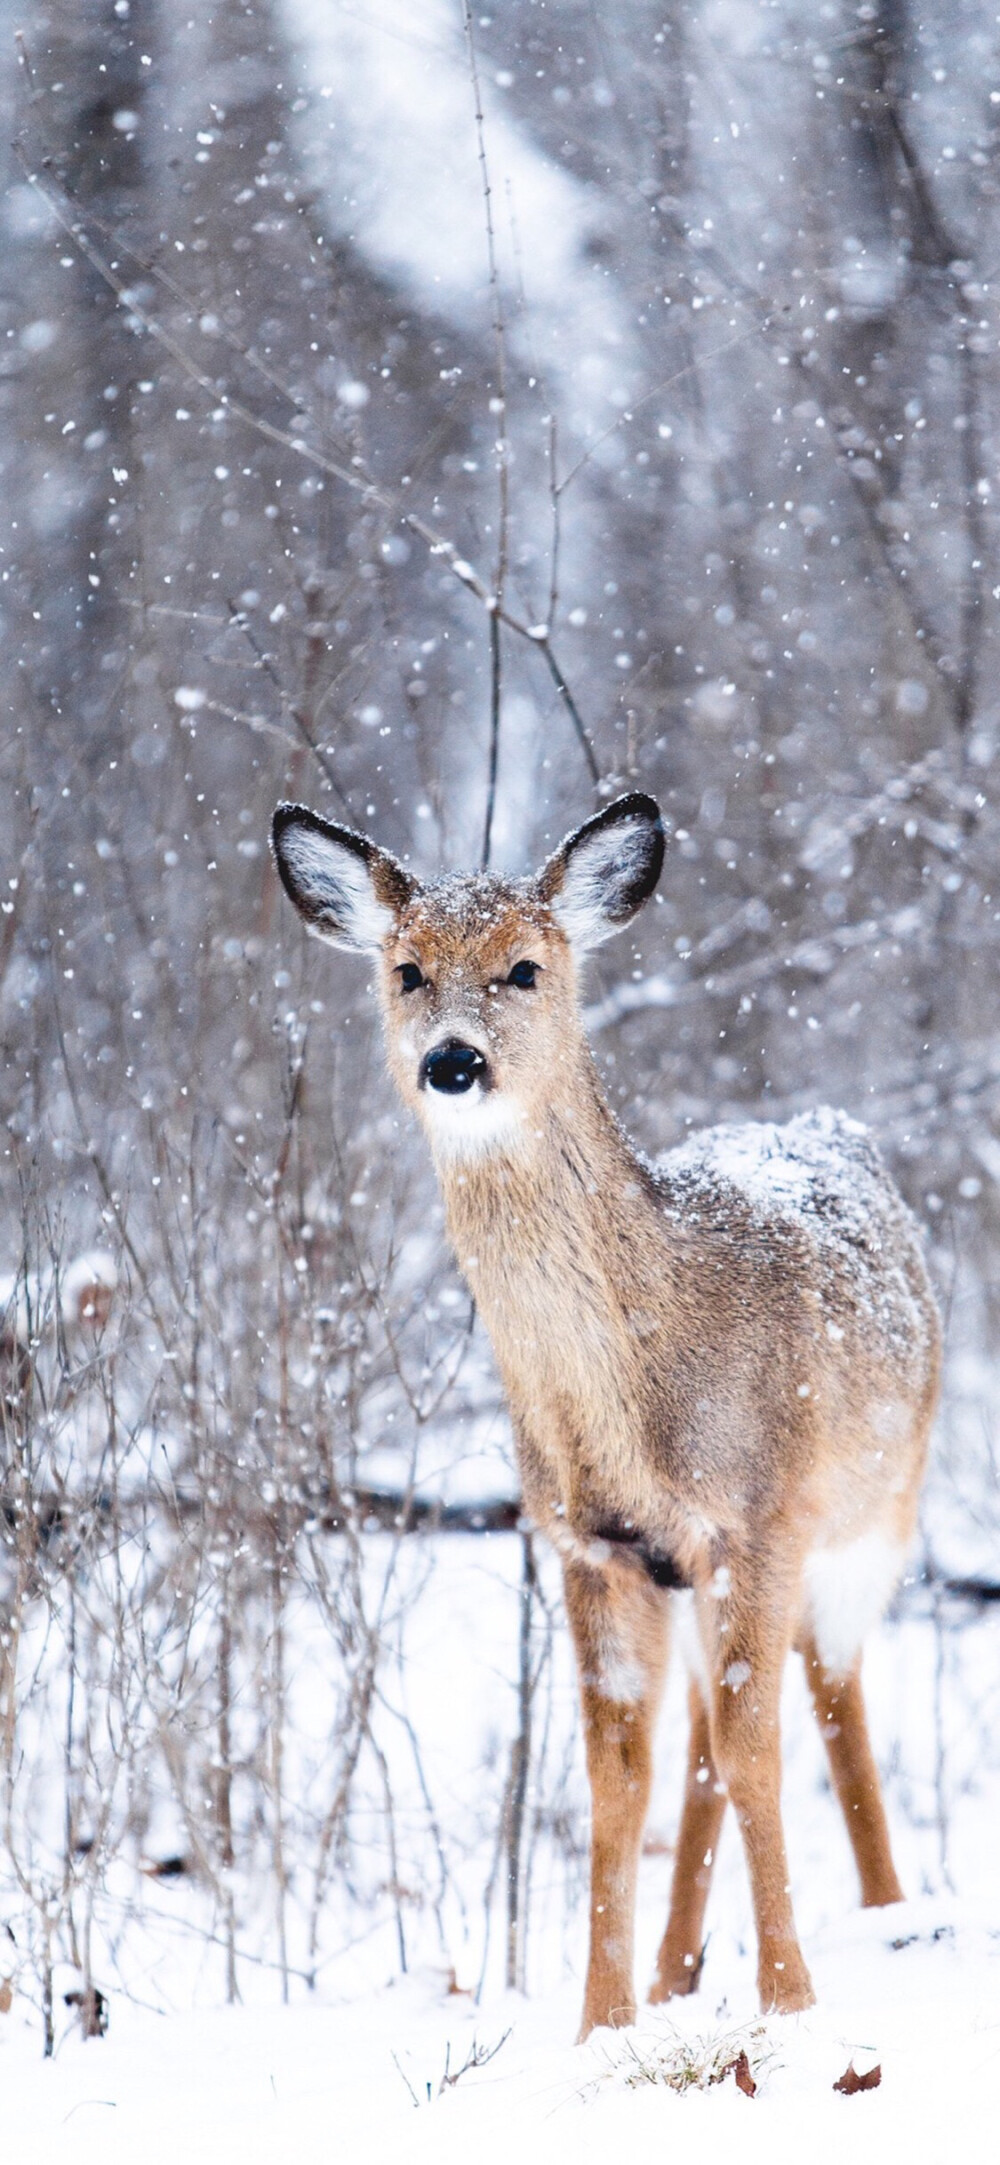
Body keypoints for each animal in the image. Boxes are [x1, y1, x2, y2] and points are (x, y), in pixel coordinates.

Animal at [271, 792, 939, 2026]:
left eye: (525, 967)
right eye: (406, 969)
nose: (452, 1059)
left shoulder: (759, 1517)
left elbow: (761, 1747)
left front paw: (790, 1998)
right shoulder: (593, 1543)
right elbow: (618, 1776)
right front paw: (602, 2020)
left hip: (876, 1511)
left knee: (831, 1695)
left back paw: (889, 1915)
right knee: (703, 1743)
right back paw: (680, 1969)